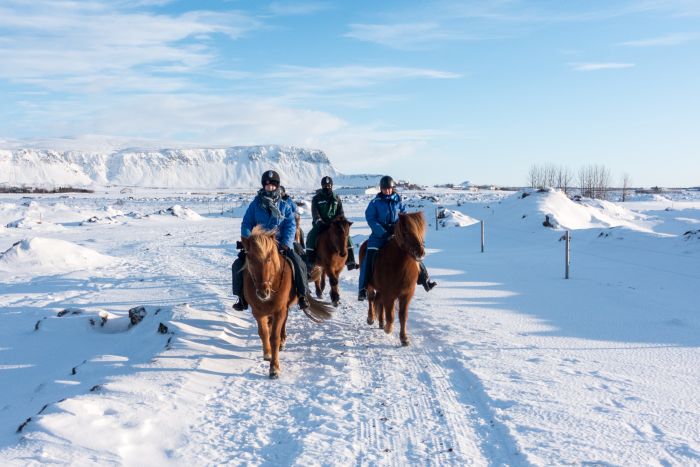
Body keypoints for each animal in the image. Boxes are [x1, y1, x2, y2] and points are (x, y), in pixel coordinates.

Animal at [241, 225, 334, 378]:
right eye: (250, 257)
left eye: (269, 259)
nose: (263, 292)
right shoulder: (258, 312)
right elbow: (264, 332)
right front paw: (267, 353)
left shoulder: (280, 310)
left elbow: (274, 337)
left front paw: (274, 368)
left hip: (285, 307)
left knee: (283, 323)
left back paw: (283, 340)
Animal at [360, 212, 426, 348]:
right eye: (406, 231)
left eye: (420, 230)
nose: (420, 253)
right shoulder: (389, 294)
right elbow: (390, 315)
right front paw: (388, 328)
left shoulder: (406, 295)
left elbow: (403, 316)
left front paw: (404, 338)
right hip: (370, 286)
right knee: (371, 299)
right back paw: (371, 319)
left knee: (378, 301)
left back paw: (380, 322)